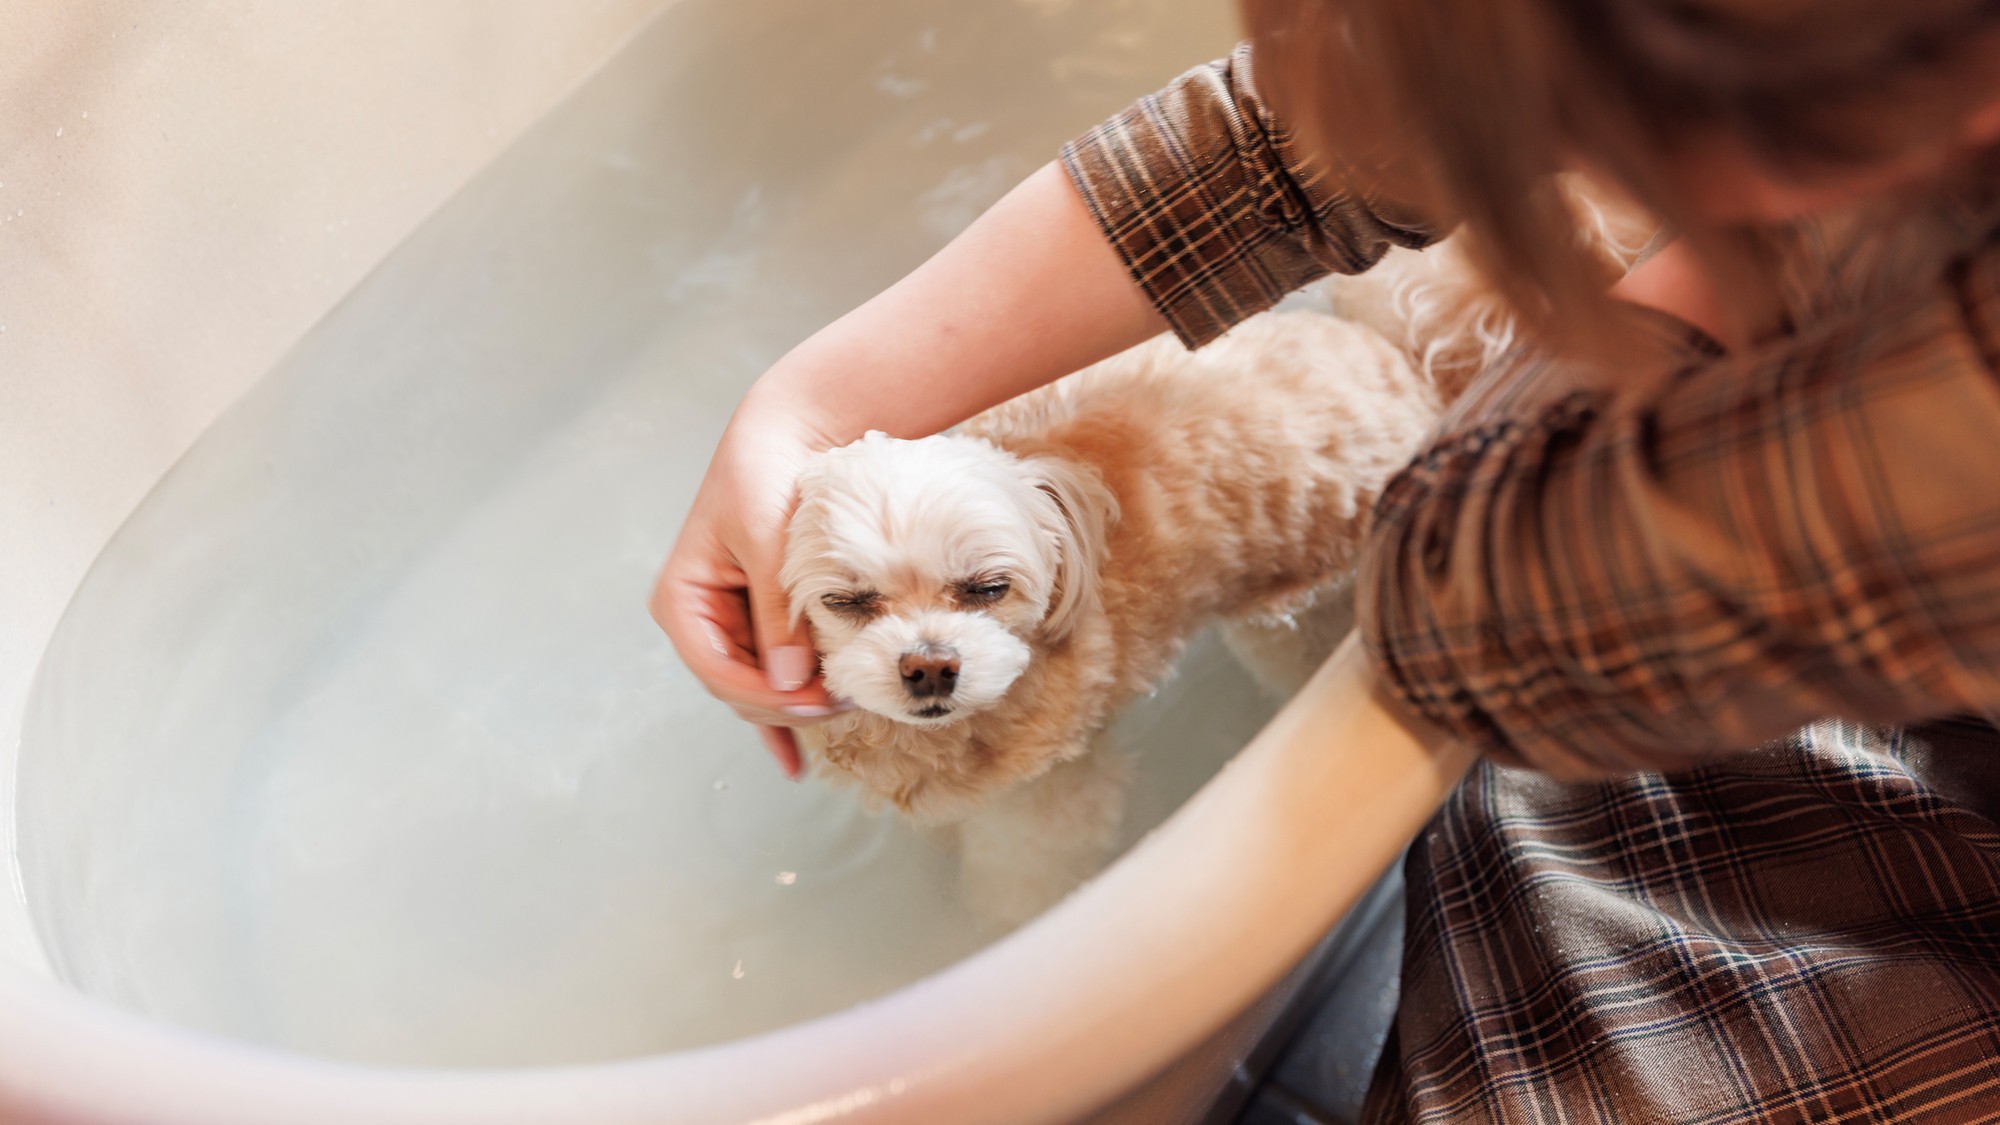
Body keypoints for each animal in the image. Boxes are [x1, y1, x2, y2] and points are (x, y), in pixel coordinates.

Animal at [784, 308, 1456, 920]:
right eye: (846, 601)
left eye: (989, 588)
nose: (930, 667)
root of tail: (1402, 363)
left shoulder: (1048, 799)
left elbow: (1017, 891)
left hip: (1288, 614)